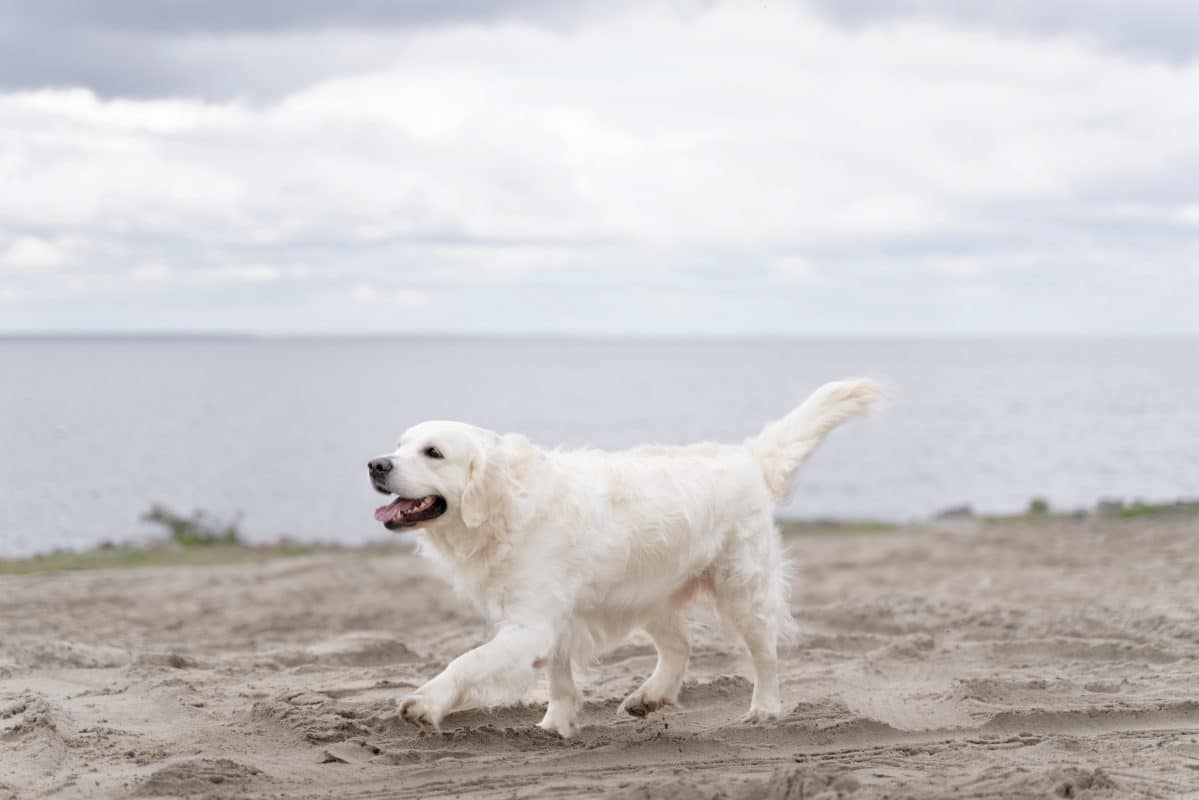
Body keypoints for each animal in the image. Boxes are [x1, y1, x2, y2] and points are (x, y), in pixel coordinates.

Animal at [369, 381, 887, 738]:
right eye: (399, 444)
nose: (376, 464)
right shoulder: (555, 622)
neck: (506, 508)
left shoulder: (531, 624)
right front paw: (555, 725)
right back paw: (651, 696)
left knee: (766, 656)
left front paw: (426, 702)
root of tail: (747, 457)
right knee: (679, 646)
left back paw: (763, 709)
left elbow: (467, 661)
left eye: (433, 452)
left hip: (743, 590)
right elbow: (558, 680)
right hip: (647, 593)